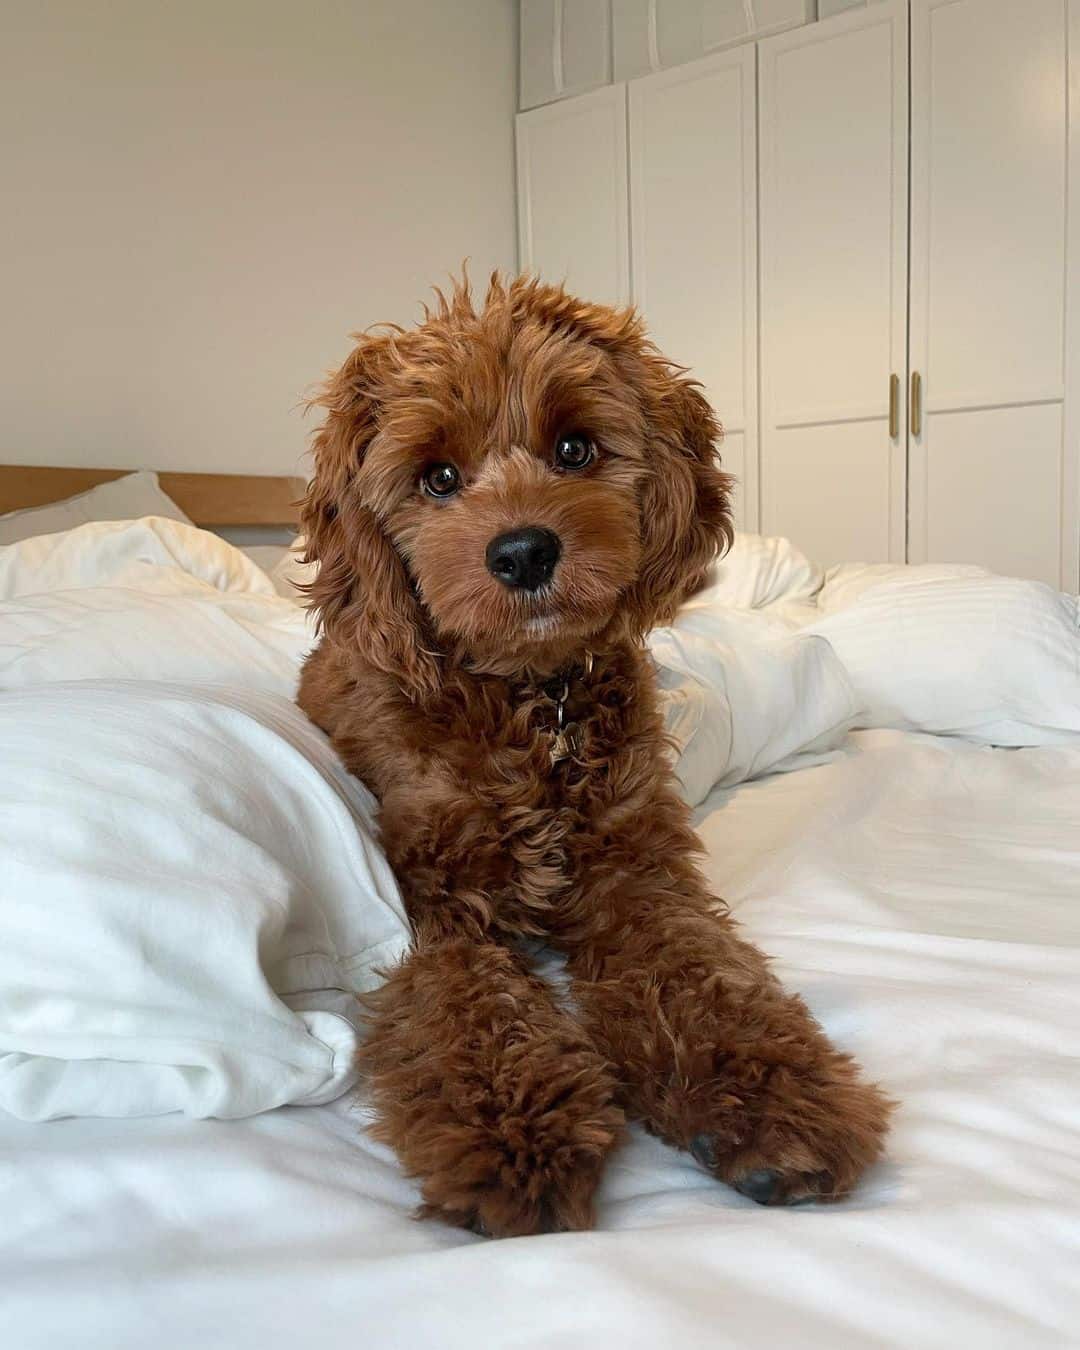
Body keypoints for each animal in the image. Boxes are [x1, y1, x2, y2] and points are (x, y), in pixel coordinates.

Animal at [297, 276, 896, 1242]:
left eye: (574, 448)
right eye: (437, 478)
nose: (523, 551)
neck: (533, 702)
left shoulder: (635, 871)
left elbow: (700, 979)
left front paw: (773, 1105)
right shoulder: (434, 905)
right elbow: (471, 1010)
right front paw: (513, 1137)